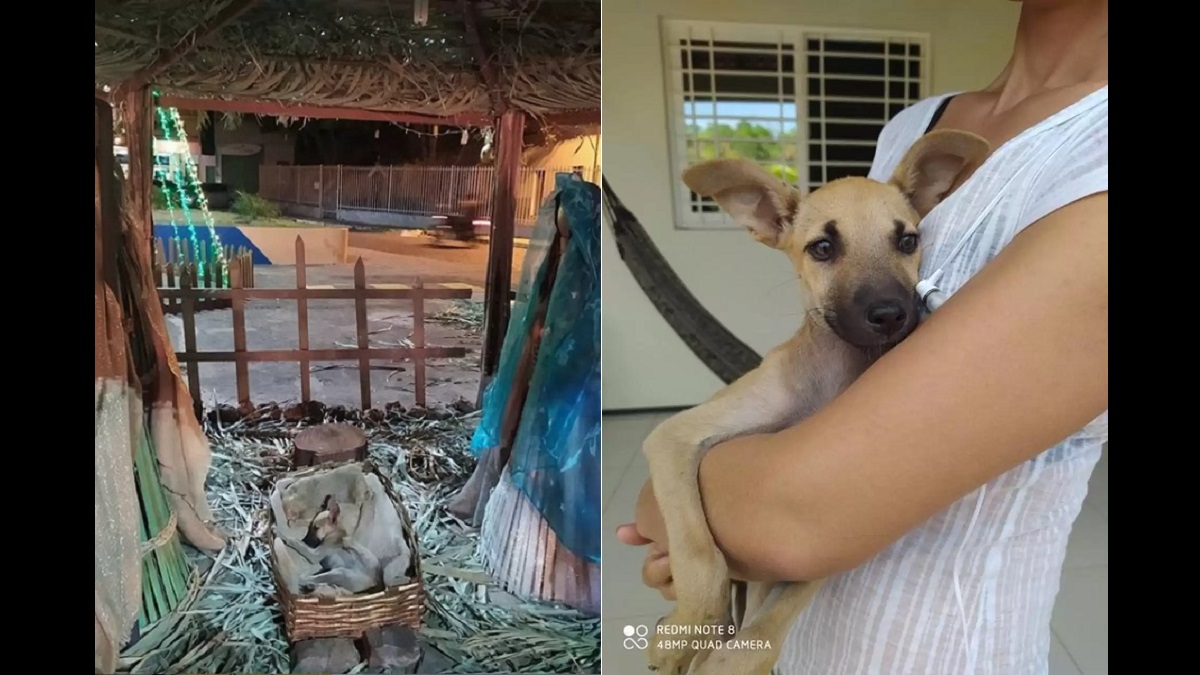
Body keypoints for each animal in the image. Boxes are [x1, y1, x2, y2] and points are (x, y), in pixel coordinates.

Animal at [643, 127, 988, 672]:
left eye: (907, 241)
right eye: (823, 247)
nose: (890, 314)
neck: (831, 372)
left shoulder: (831, 524)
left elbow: (779, 612)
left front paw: (735, 657)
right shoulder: (673, 437)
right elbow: (698, 550)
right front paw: (686, 630)